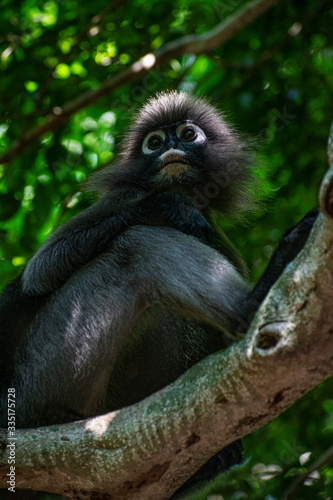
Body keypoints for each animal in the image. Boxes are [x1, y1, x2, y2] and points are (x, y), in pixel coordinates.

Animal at [0, 91, 316, 496]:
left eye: (187, 134)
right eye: (154, 142)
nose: (170, 148)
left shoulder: (212, 227)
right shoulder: (127, 195)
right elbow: (42, 270)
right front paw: (167, 206)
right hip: (39, 382)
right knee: (134, 245)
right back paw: (256, 302)